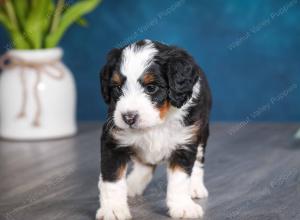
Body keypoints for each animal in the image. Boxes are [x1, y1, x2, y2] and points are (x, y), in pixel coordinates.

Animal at [96, 39, 211, 220]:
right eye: (117, 88)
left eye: (151, 88)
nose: (128, 118)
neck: (157, 124)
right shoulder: (113, 141)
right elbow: (112, 179)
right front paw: (113, 209)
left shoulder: (185, 141)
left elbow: (180, 178)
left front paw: (183, 206)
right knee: (145, 165)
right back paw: (133, 184)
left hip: (202, 131)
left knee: (198, 160)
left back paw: (195, 187)